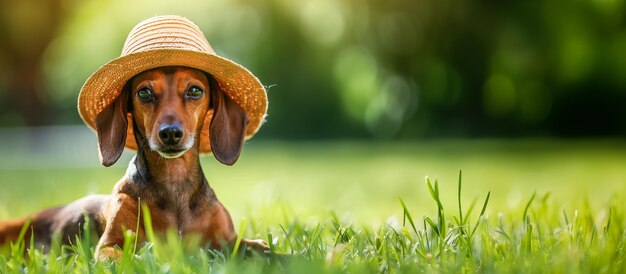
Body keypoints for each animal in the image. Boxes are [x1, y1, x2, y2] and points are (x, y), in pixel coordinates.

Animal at [0, 66, 266, 260]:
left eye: (195, 90)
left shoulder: (229, 241)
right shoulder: (110, 245)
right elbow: (121, 256)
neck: (175, 186)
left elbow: (263, 249)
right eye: (144, 93)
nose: (170, 133)